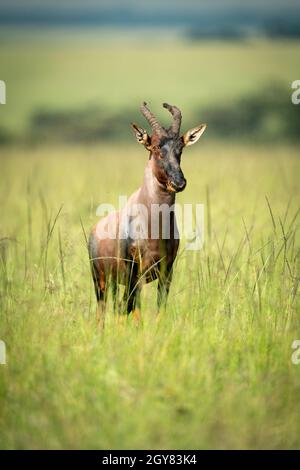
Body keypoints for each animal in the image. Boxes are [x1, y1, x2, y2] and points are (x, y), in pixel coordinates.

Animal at [89, 101, 206, 324]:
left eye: (180, 149)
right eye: (156, 147)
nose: (179, 182)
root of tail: (95, 229)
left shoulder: (167, 271)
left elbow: (160, 309)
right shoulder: (134, 272)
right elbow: (133, 311)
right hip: (100, 280)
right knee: (105, 310)